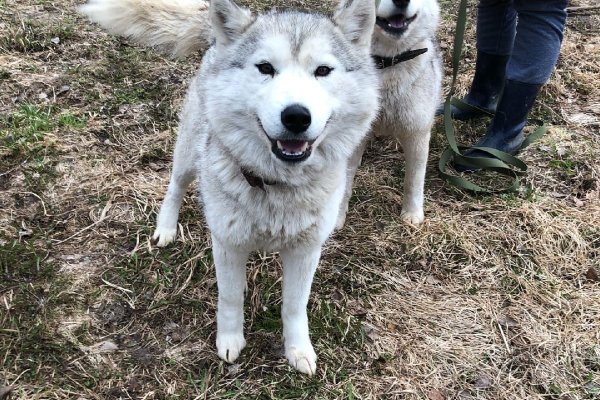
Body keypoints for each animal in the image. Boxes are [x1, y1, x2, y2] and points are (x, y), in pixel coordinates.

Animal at [83, 0, 380, 376]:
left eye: (323, 70)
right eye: (265, 68)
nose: (296, 116)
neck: (276, 185)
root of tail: (216, 39)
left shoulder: (306, 251)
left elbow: (294, 306)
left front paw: (298, 350)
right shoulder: (227, 244)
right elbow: (230, 297)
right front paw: (230, 340)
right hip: (188, 155)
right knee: (175, 186)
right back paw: (166, 227)